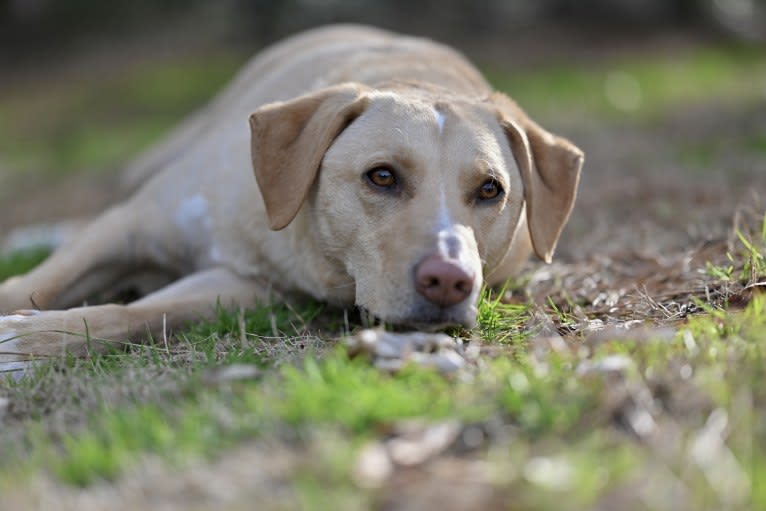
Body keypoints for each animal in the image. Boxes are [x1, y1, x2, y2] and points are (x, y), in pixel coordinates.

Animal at [0, 25, 584, 376]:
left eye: (490, 190)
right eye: (382, 176)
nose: (448, 281)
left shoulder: (244, 287)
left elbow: (136, 313)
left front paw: (34, 340)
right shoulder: (132, 222)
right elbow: (39, 280)